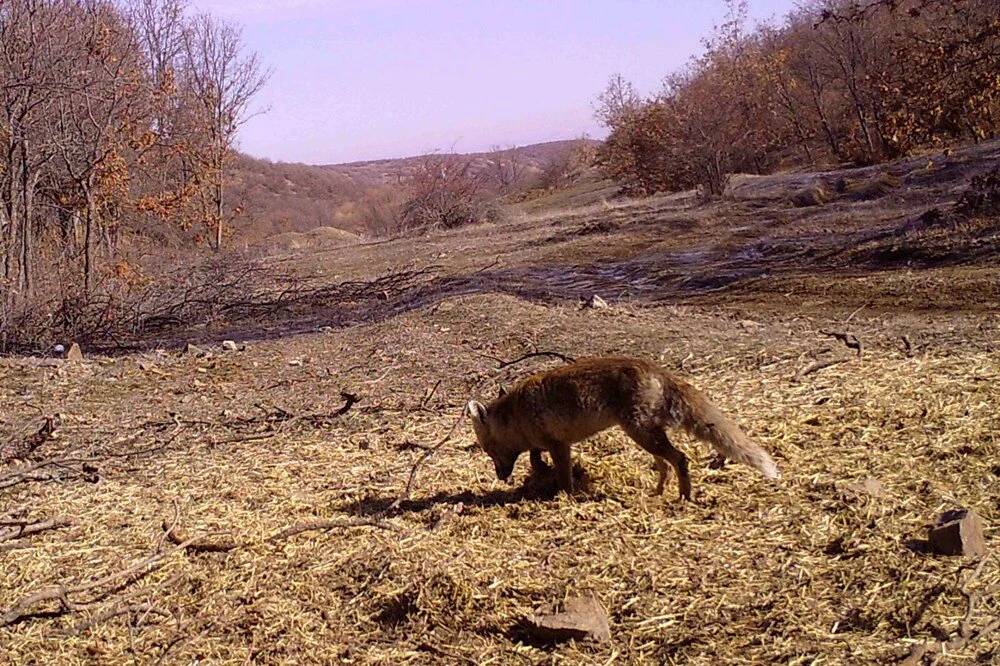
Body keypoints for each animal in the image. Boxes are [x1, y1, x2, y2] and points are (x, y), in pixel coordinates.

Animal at [468, 356, 780, 496]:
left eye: (488, 450)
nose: (500, 476)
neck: (518, 413)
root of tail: (654, 367)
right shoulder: (549, 443)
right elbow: (535, 457)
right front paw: (542, 472)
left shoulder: (559, 445)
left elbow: (563, 477)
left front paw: (565, 496)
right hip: (645, 437)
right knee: (666, 465)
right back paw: (659, 491)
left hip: (642, 434)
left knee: (680, 459)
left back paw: (684, 496)